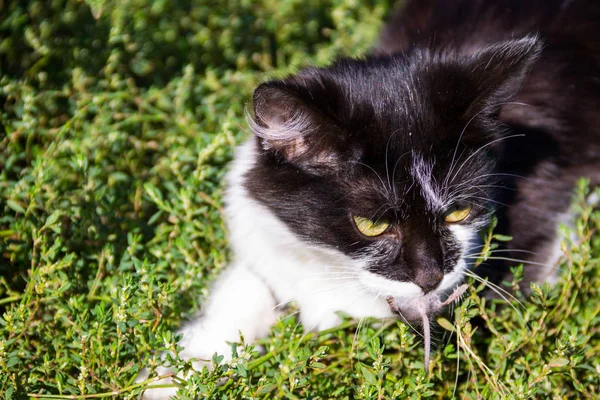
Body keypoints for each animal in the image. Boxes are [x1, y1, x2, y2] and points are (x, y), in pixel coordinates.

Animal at [142, 0, 600, 396]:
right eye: (373, 224)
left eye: (458, 212)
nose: (430, 277)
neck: (335, 270)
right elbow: (249, 286)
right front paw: (176, 374)